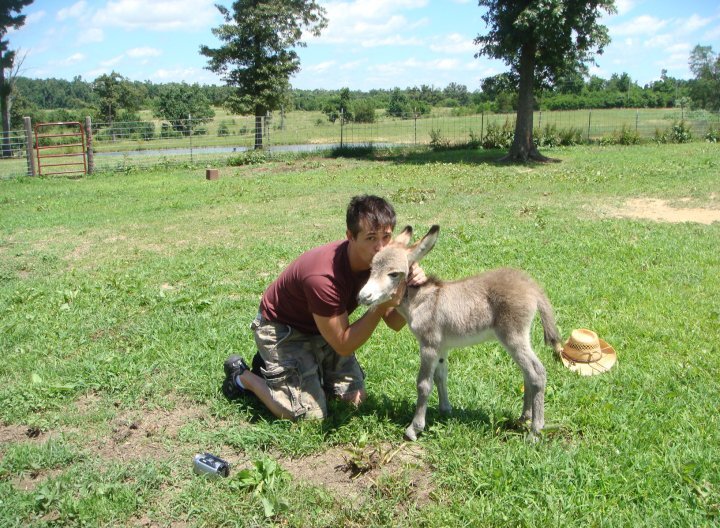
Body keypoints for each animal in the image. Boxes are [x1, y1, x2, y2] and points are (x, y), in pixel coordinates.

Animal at [358, 225, 564, 440]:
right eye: (372, 268)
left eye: (393, 274)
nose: (362, 296)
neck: (421, 300)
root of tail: (532, 286)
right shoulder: (441, 347)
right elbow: (440, 376)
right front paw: (445, 410)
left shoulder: (428, 345)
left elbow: (424, 384)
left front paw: (414, 428)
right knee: (527, 373)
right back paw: (524, 418)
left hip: (513, 336)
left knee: (537, 373)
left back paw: (535, 430)